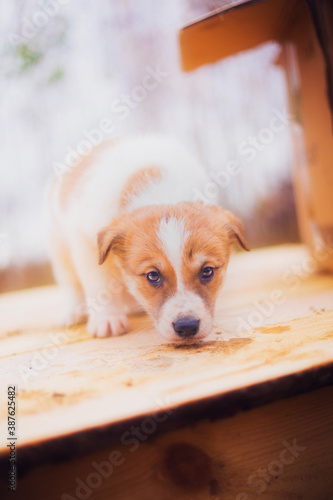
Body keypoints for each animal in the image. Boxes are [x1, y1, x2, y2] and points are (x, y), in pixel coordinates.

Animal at [46, 135, 246, 342]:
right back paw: (74, 312)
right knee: (70, 281)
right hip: (58, 245)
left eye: (207, 271)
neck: (164, 194)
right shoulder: (86, 246)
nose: (187, 327)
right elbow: (99, 287)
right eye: (153, 276)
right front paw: (107, 320)